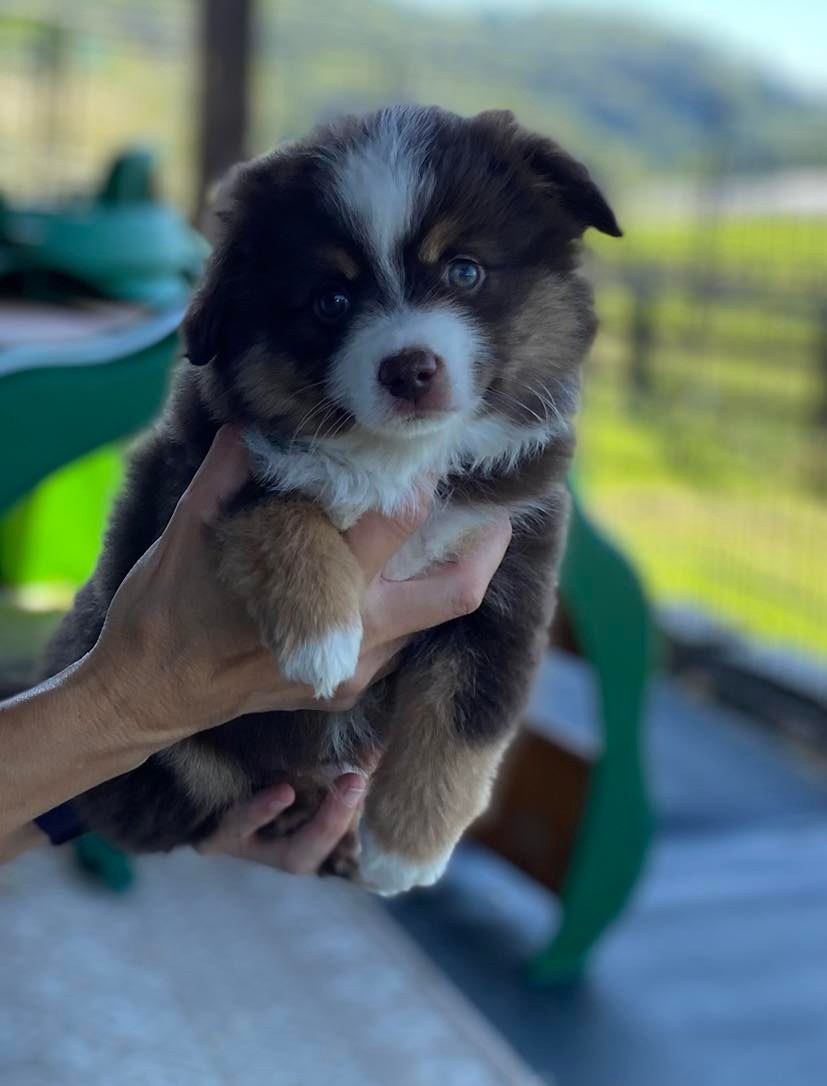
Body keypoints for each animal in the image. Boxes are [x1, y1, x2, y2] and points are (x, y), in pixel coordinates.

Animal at [41, 105, 616, 894]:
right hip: (167, 756)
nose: (409, 369)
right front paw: (325, 639)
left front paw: (406, 850)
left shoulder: (507, 567)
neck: (397, 459)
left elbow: (464, 724)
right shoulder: (208, 468)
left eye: (464, 270)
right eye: (331, 301)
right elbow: (290, 506)